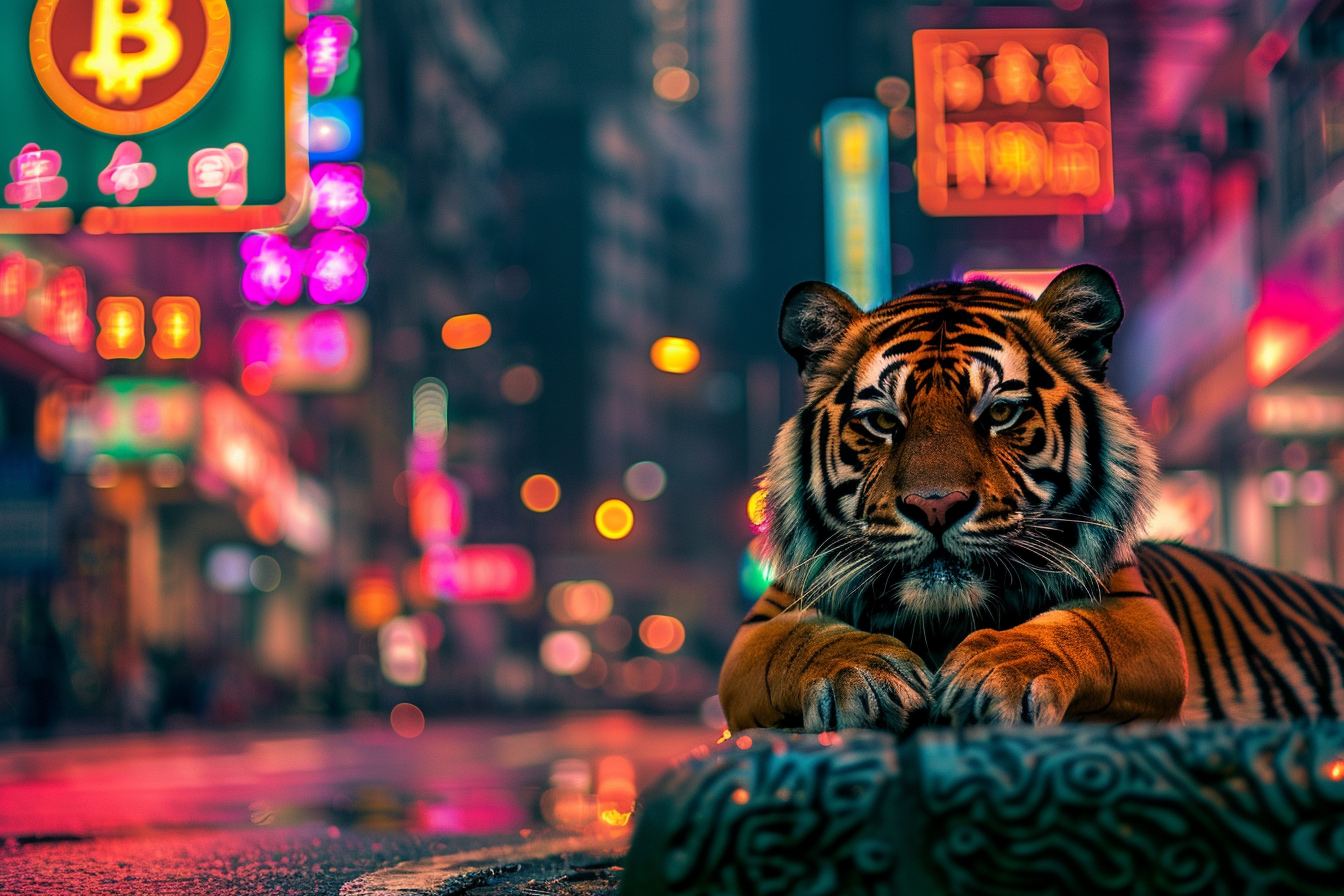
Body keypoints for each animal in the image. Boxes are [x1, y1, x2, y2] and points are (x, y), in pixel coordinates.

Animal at [719, 264, 1344, 733]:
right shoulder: (761, 627)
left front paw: (996, 668)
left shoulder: (1139, 613)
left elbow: (1078, 629)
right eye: (882, 422)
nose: (935, 505)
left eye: (999, 412)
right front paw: (867, 669)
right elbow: (803, 638)